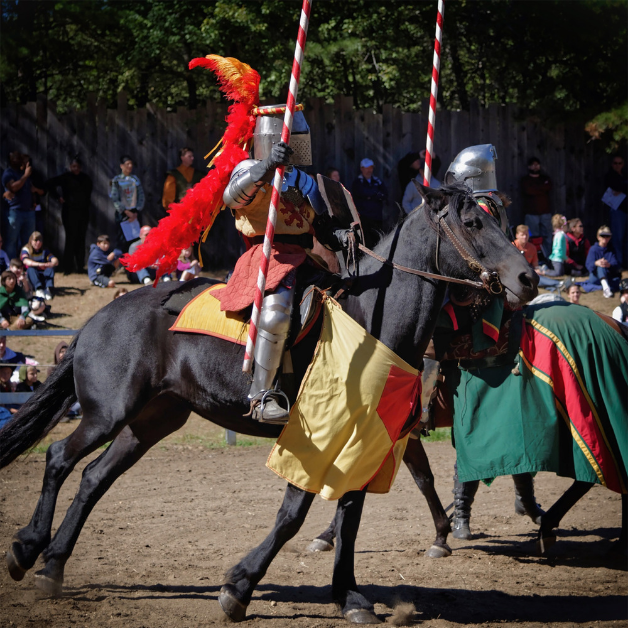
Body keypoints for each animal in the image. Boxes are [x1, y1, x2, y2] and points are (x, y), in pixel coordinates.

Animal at [1, 182, 536, 624]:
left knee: (94, 477)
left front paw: (350, 596)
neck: (369, 323)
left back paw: (52, 565)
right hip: (108, 413)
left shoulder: (363, 442)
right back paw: (28, 548)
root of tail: (98, 319)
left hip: (150, 422)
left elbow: (351, 516)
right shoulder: (316, 437)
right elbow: (293, 515)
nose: (528, 278)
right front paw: (238, 587)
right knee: (59, 458)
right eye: (473, 224)